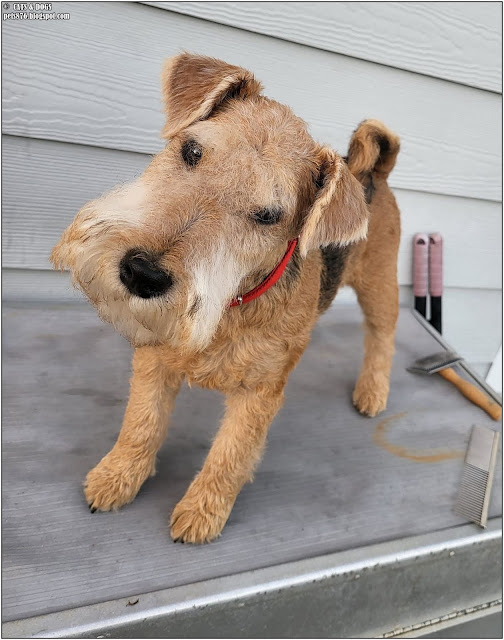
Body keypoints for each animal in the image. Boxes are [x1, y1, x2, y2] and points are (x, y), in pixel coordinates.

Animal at [49, 55, 400, 544]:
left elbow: (228, 458)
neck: (233, 304)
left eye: (268, 215)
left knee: (381, 337)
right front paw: (116, 477)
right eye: (192, 151)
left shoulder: (259, 393)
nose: (141, 273)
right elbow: (141, 425)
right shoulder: (154, 359)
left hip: (379, 286)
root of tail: (373, 174)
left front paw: (201, 513)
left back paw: (371, 392)